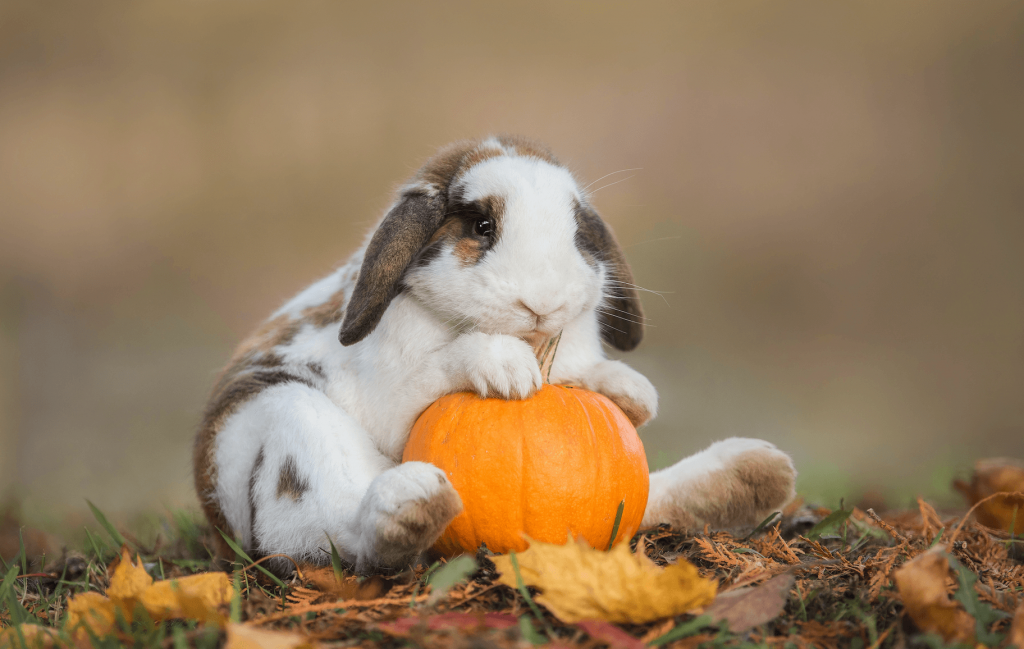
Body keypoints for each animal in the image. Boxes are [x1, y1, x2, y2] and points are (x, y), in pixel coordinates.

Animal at [193, 135, 796, 574]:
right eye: (482, 226)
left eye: (577, 234)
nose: (542, 302)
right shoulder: (391, 397)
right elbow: (438, 366)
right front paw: (507, 371)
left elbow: (592, 378)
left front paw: (632, 391)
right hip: (289, 416)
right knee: (336, 535)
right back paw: (409, 507)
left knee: (646, 499)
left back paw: (747, 476)